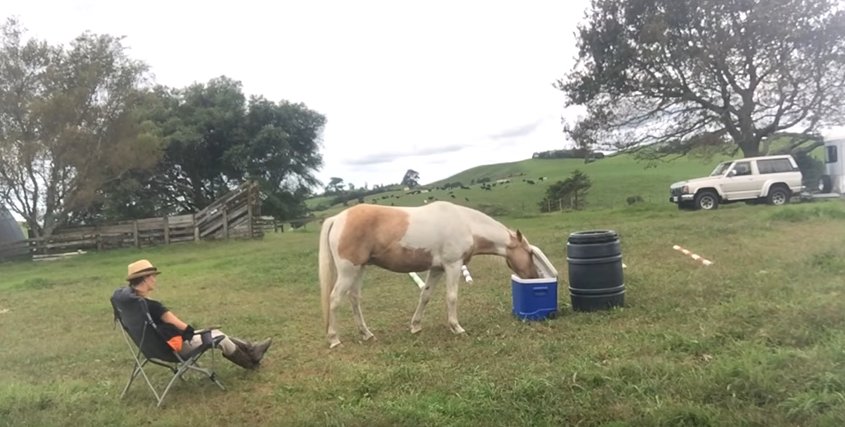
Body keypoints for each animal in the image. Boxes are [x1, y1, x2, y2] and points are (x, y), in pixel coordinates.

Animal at [318, 201, 540, 349]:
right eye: (530, 253)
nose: (534, 275)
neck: (465, 223)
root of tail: (338, 219)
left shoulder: (436, 269)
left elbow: (425, 295)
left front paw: (415, 326)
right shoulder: (453, 265)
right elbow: (451, 297)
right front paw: (456, 328)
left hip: (359, 270)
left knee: (354, 298)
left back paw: (366, 334)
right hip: (348, 271)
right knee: (334, 299)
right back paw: (334, 339)